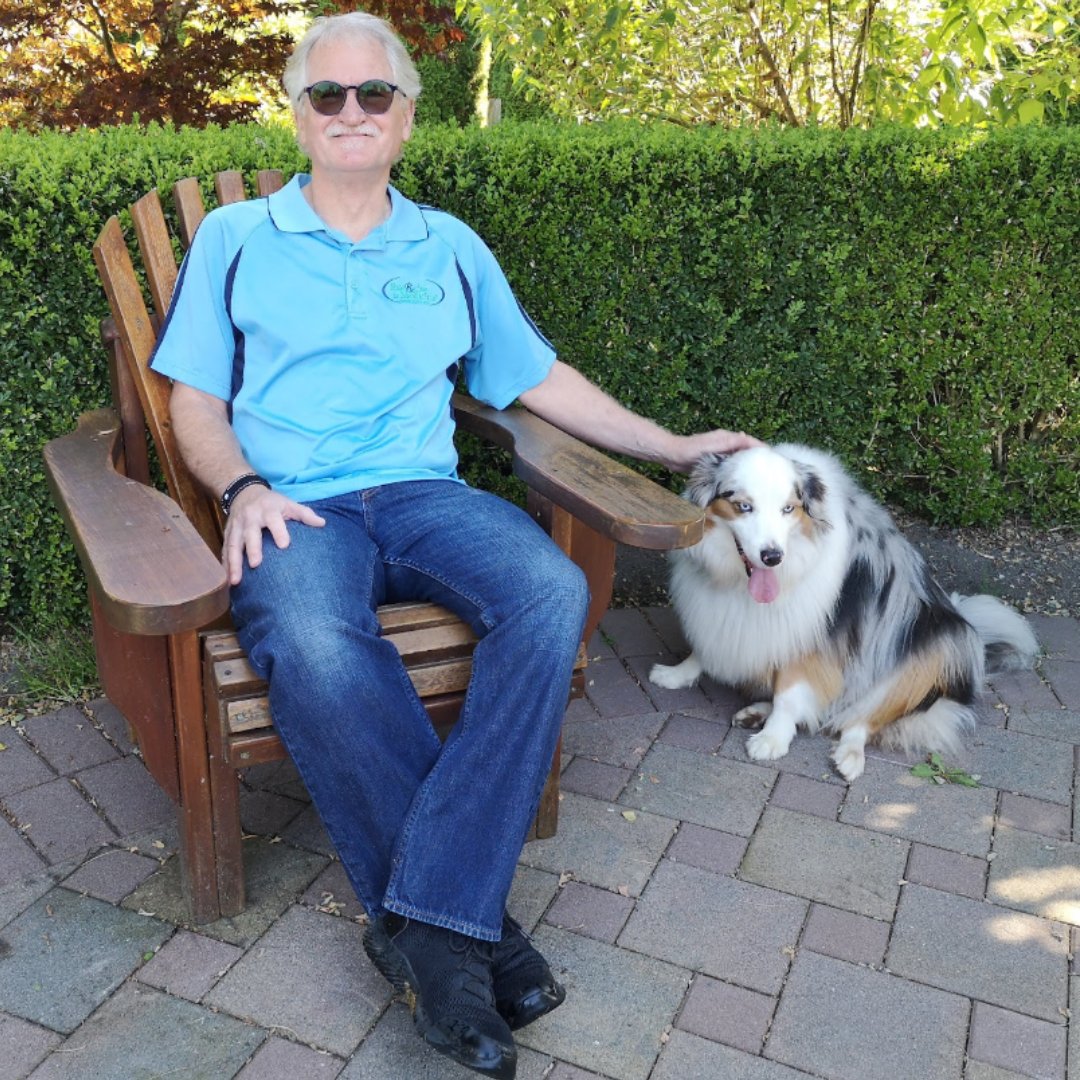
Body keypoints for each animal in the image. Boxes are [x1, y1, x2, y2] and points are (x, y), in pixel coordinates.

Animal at [643, 442, 1041, 781]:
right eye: (744, 506)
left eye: (788, 509)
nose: (772, 556)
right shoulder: (718, 610)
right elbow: (706, 646)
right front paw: (678, 674)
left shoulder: (811, 630)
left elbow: (790, 693)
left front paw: (773, 738)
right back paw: (756, 711)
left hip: (930, 650)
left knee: (860, 718)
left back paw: (848, 755)